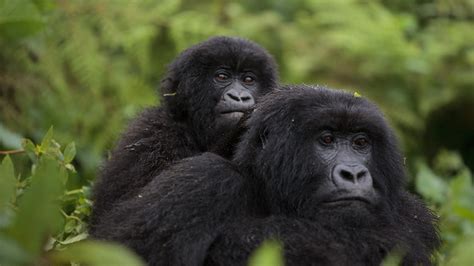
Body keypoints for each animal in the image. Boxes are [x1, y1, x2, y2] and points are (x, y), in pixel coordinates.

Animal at [92, 86, 440, 264]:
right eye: (326, 139)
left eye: (361, 143)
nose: (353, 173)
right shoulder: (205, 180)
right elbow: (120, 248)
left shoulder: (413, 216)